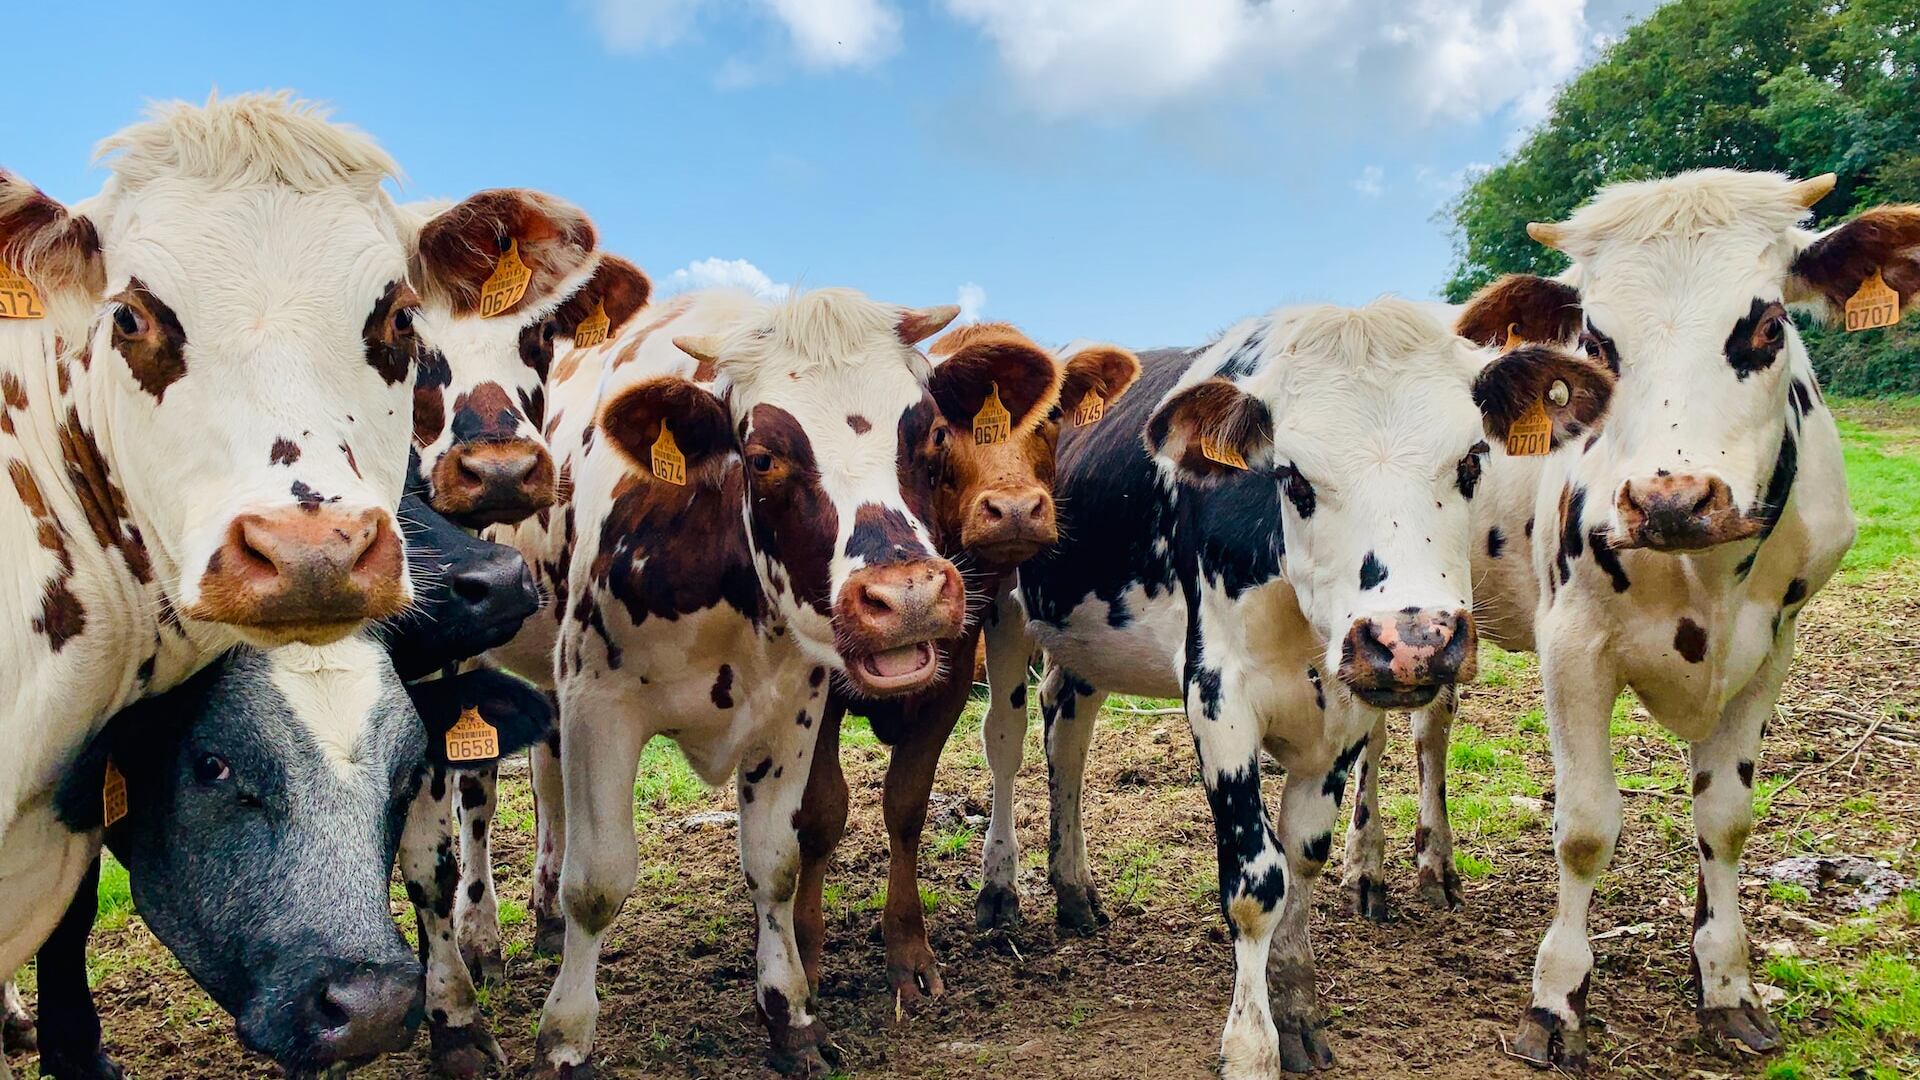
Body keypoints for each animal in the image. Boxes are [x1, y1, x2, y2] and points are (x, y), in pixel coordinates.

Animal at [10, 480, 546, 1080]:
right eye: (212, 765)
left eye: (408, 772)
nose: (374, 1008)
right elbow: (68, 913)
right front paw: (75, 1051)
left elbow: (431, 871)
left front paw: (455, 1023)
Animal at [480, 286, 1068, 1077]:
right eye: (761, 458)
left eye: (935, 440)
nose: (908, 596)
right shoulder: (597, 708)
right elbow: (597, 882)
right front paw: (565, 1040)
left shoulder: (793, 714)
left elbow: (777, 864)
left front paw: (791, 1018)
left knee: (545, 782)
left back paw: (541, 914)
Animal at [791, 324, 1142, 1006]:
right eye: (939, 429)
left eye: (1051, 417)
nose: (1016, 510)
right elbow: (821, 811)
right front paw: (805, 956)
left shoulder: (953, 677)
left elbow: (906, 804)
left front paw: (907, 952)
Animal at [975, 298, 1601, 1076]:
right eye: (1293, 478)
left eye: (1471, 461)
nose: (1413, 641)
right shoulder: (1217, 695)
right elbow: (1256, 882)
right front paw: (1250, 1045)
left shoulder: (1345, 709)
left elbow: (1303, 856)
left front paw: (1298, 1004)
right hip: (1001, 609)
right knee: (1005, 744)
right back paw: (1000, 888)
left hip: (1085, 641)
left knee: (1067, 733)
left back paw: (1073, 889)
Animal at [1410, 169, 1891, 1069]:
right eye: (1595, 343)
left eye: (1767, 323)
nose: (1671, 499)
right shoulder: (1572, 645)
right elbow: (1585, 826)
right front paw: (1556, 999)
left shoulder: (1773, 648)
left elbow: (1724, 819)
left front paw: (1725, 983)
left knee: (1431, 729)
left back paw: (1434, 866)